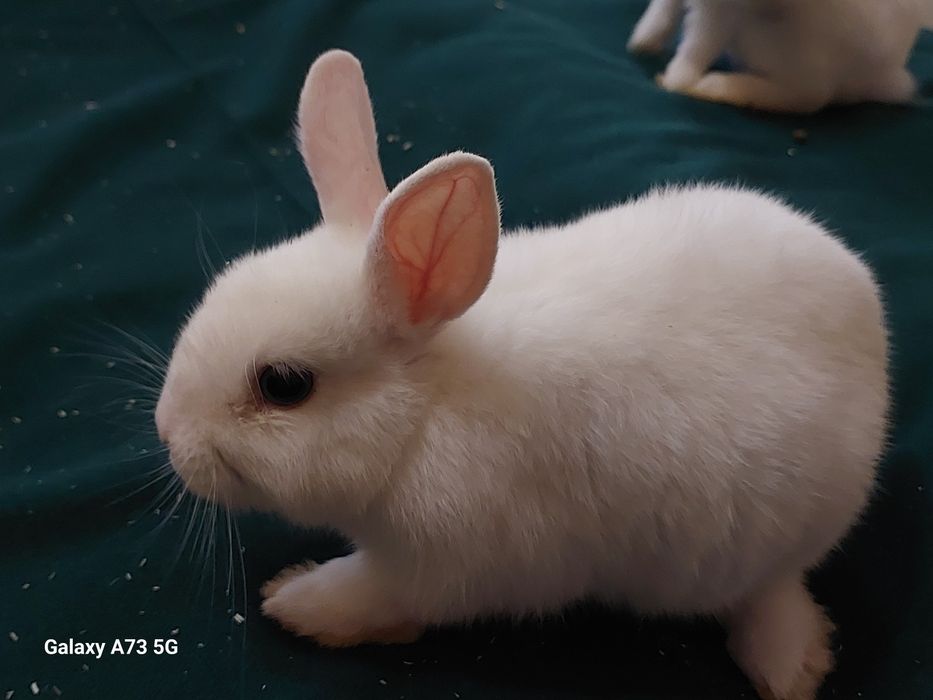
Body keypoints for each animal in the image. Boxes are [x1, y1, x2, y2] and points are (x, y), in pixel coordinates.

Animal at [155, 49, 889, 700]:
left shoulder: (437, 569)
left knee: (773, 593)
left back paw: (786, 670)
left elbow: (368, 597)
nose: (167, 434)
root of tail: (867, 312)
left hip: (767, 539)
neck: (424, 413)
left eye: (283, 385)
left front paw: (295, 601)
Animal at [627, 0, 931, 112]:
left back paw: (714, 87)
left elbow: (700, 40)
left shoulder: (723, 9)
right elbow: (664, 10)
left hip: (764, 34)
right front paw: (641, 41)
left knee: (810, 97)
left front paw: (676, 80)